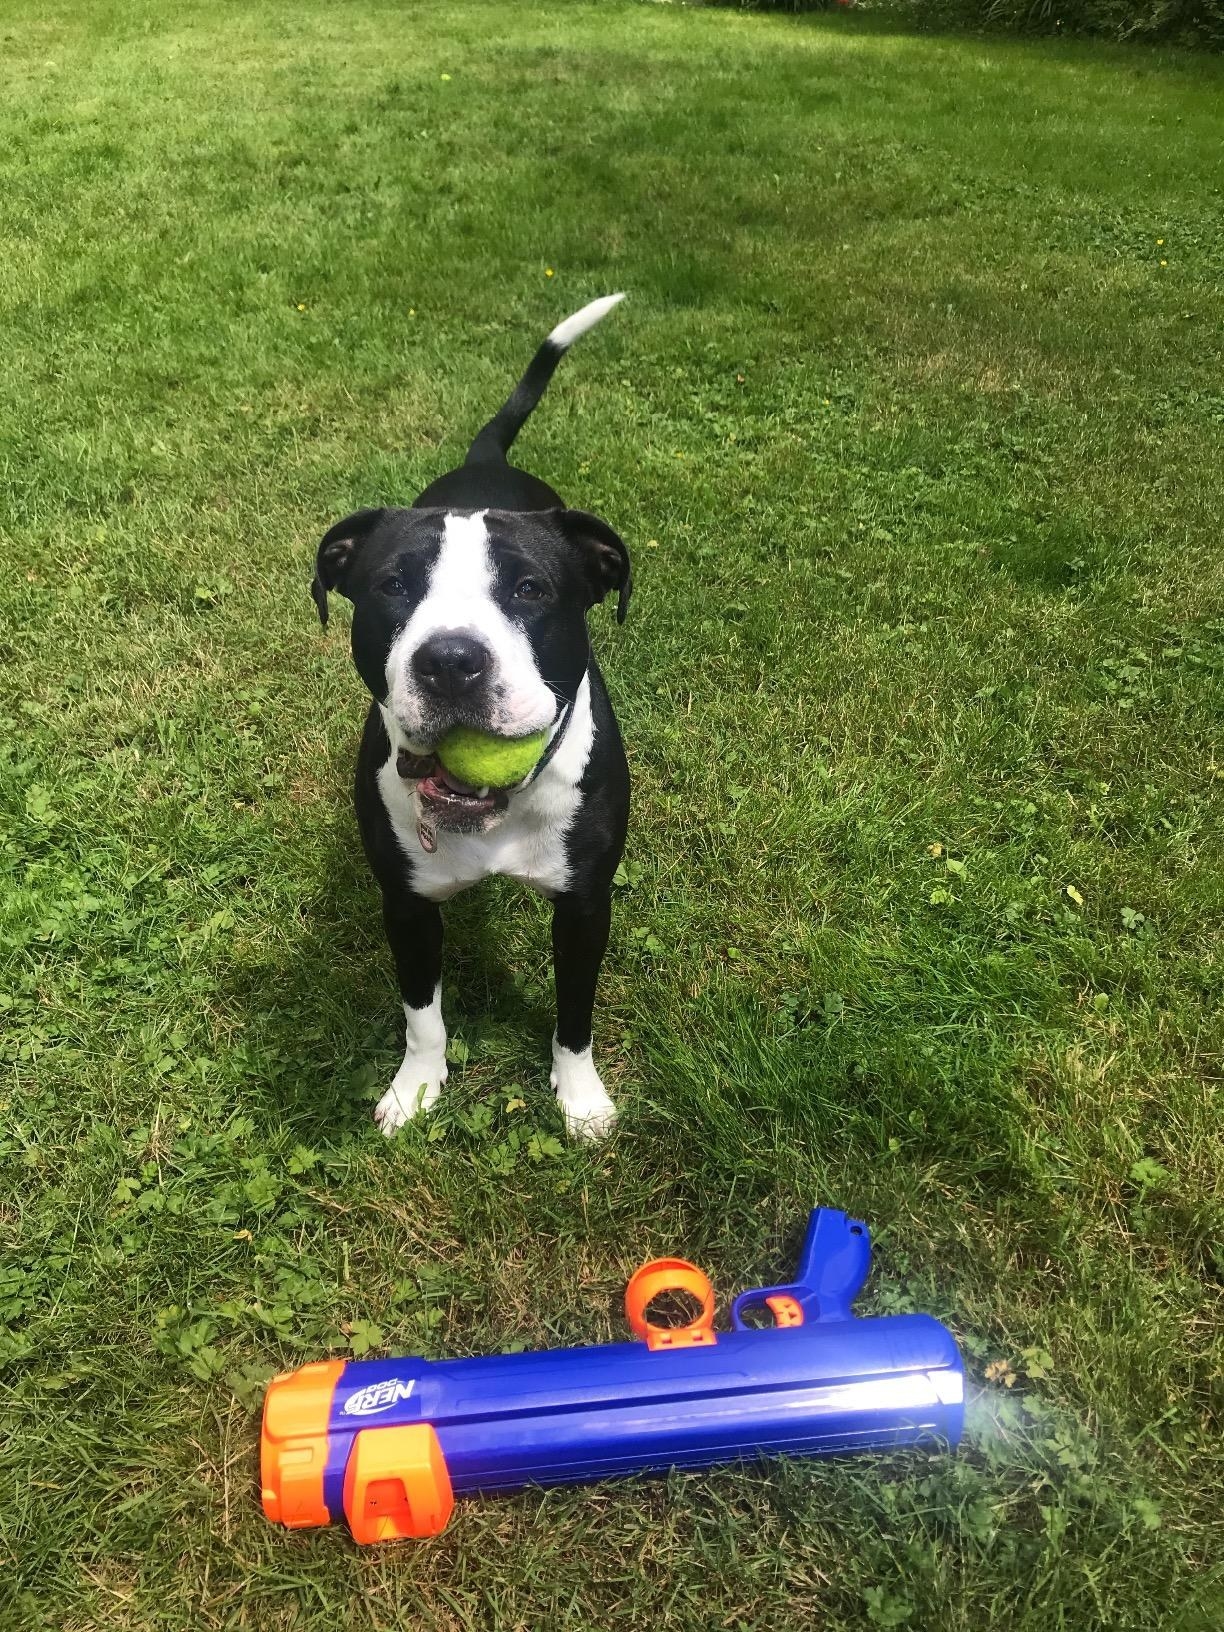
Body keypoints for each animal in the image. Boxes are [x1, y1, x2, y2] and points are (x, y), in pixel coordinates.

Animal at [311, 297, 633, 1135]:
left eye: (529, 589)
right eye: (392, 585)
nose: (451, 660)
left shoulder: (585, 907)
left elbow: (575, 1013)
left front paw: (581, 1098)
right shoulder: (407, 906)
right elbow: (421, 1013)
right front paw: (417, 1087)